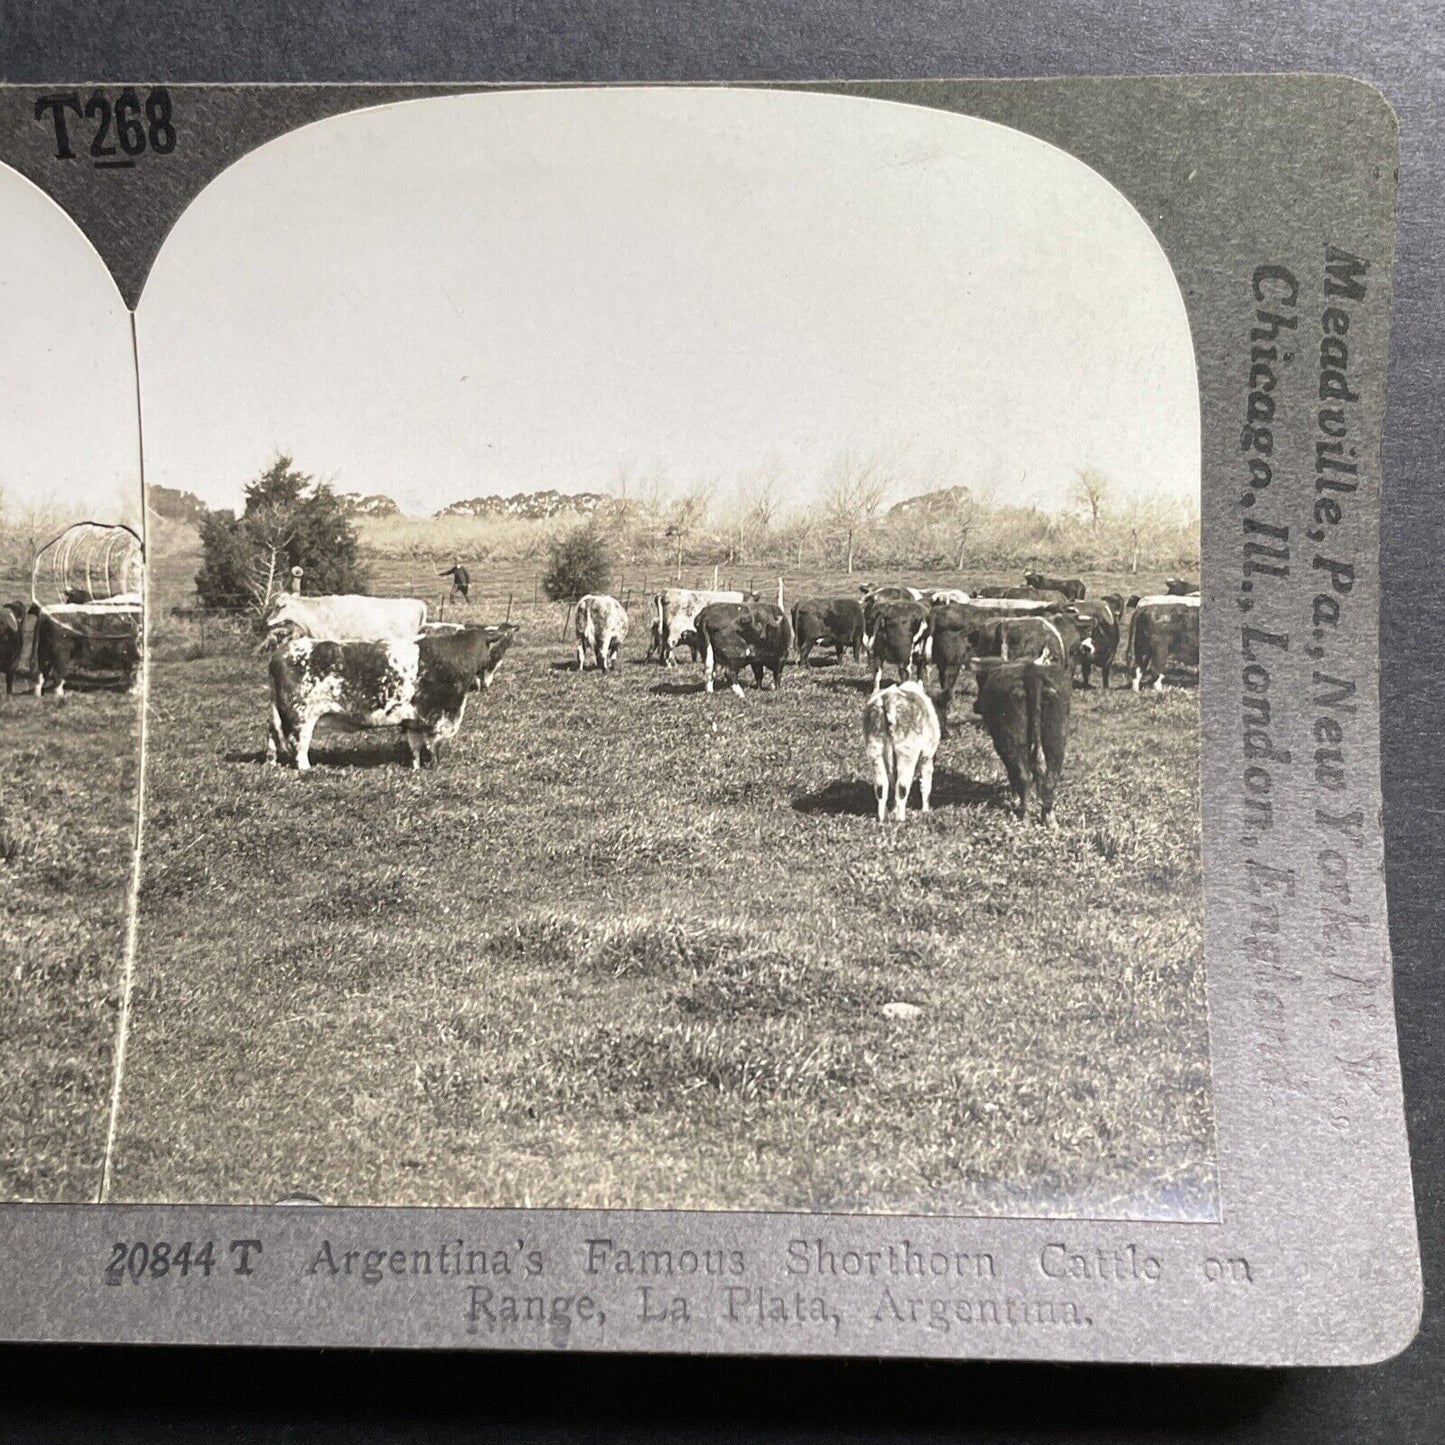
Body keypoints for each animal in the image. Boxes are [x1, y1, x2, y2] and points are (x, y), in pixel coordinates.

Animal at [265, 627, 497, 774]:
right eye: (487, 648)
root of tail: (279, 653)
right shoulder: (437, 717)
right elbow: (434, 747)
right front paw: (435, 768)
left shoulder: (413, 721)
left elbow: (415, 747)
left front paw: (416, 769)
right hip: (301, 717)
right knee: (299, 746)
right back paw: (306, 769)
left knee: (272, 739)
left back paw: (272, 763)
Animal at [861, 679, 942, 826]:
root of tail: (889, 700)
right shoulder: (927, 756)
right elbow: (926, 785)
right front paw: (926, 811)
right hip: (907, 752)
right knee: (902, 786)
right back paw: (901, 819)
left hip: (875, 748)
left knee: (881, 786)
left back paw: (883, 818)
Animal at [971, 653, 1075, 826]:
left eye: (979, 682)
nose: (975, 706)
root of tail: (1032, 672)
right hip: (1056, 740)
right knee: (1050, 776)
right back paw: (1049, 819)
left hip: (1013, 741)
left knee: (1023, 775)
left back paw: (1023, 815)